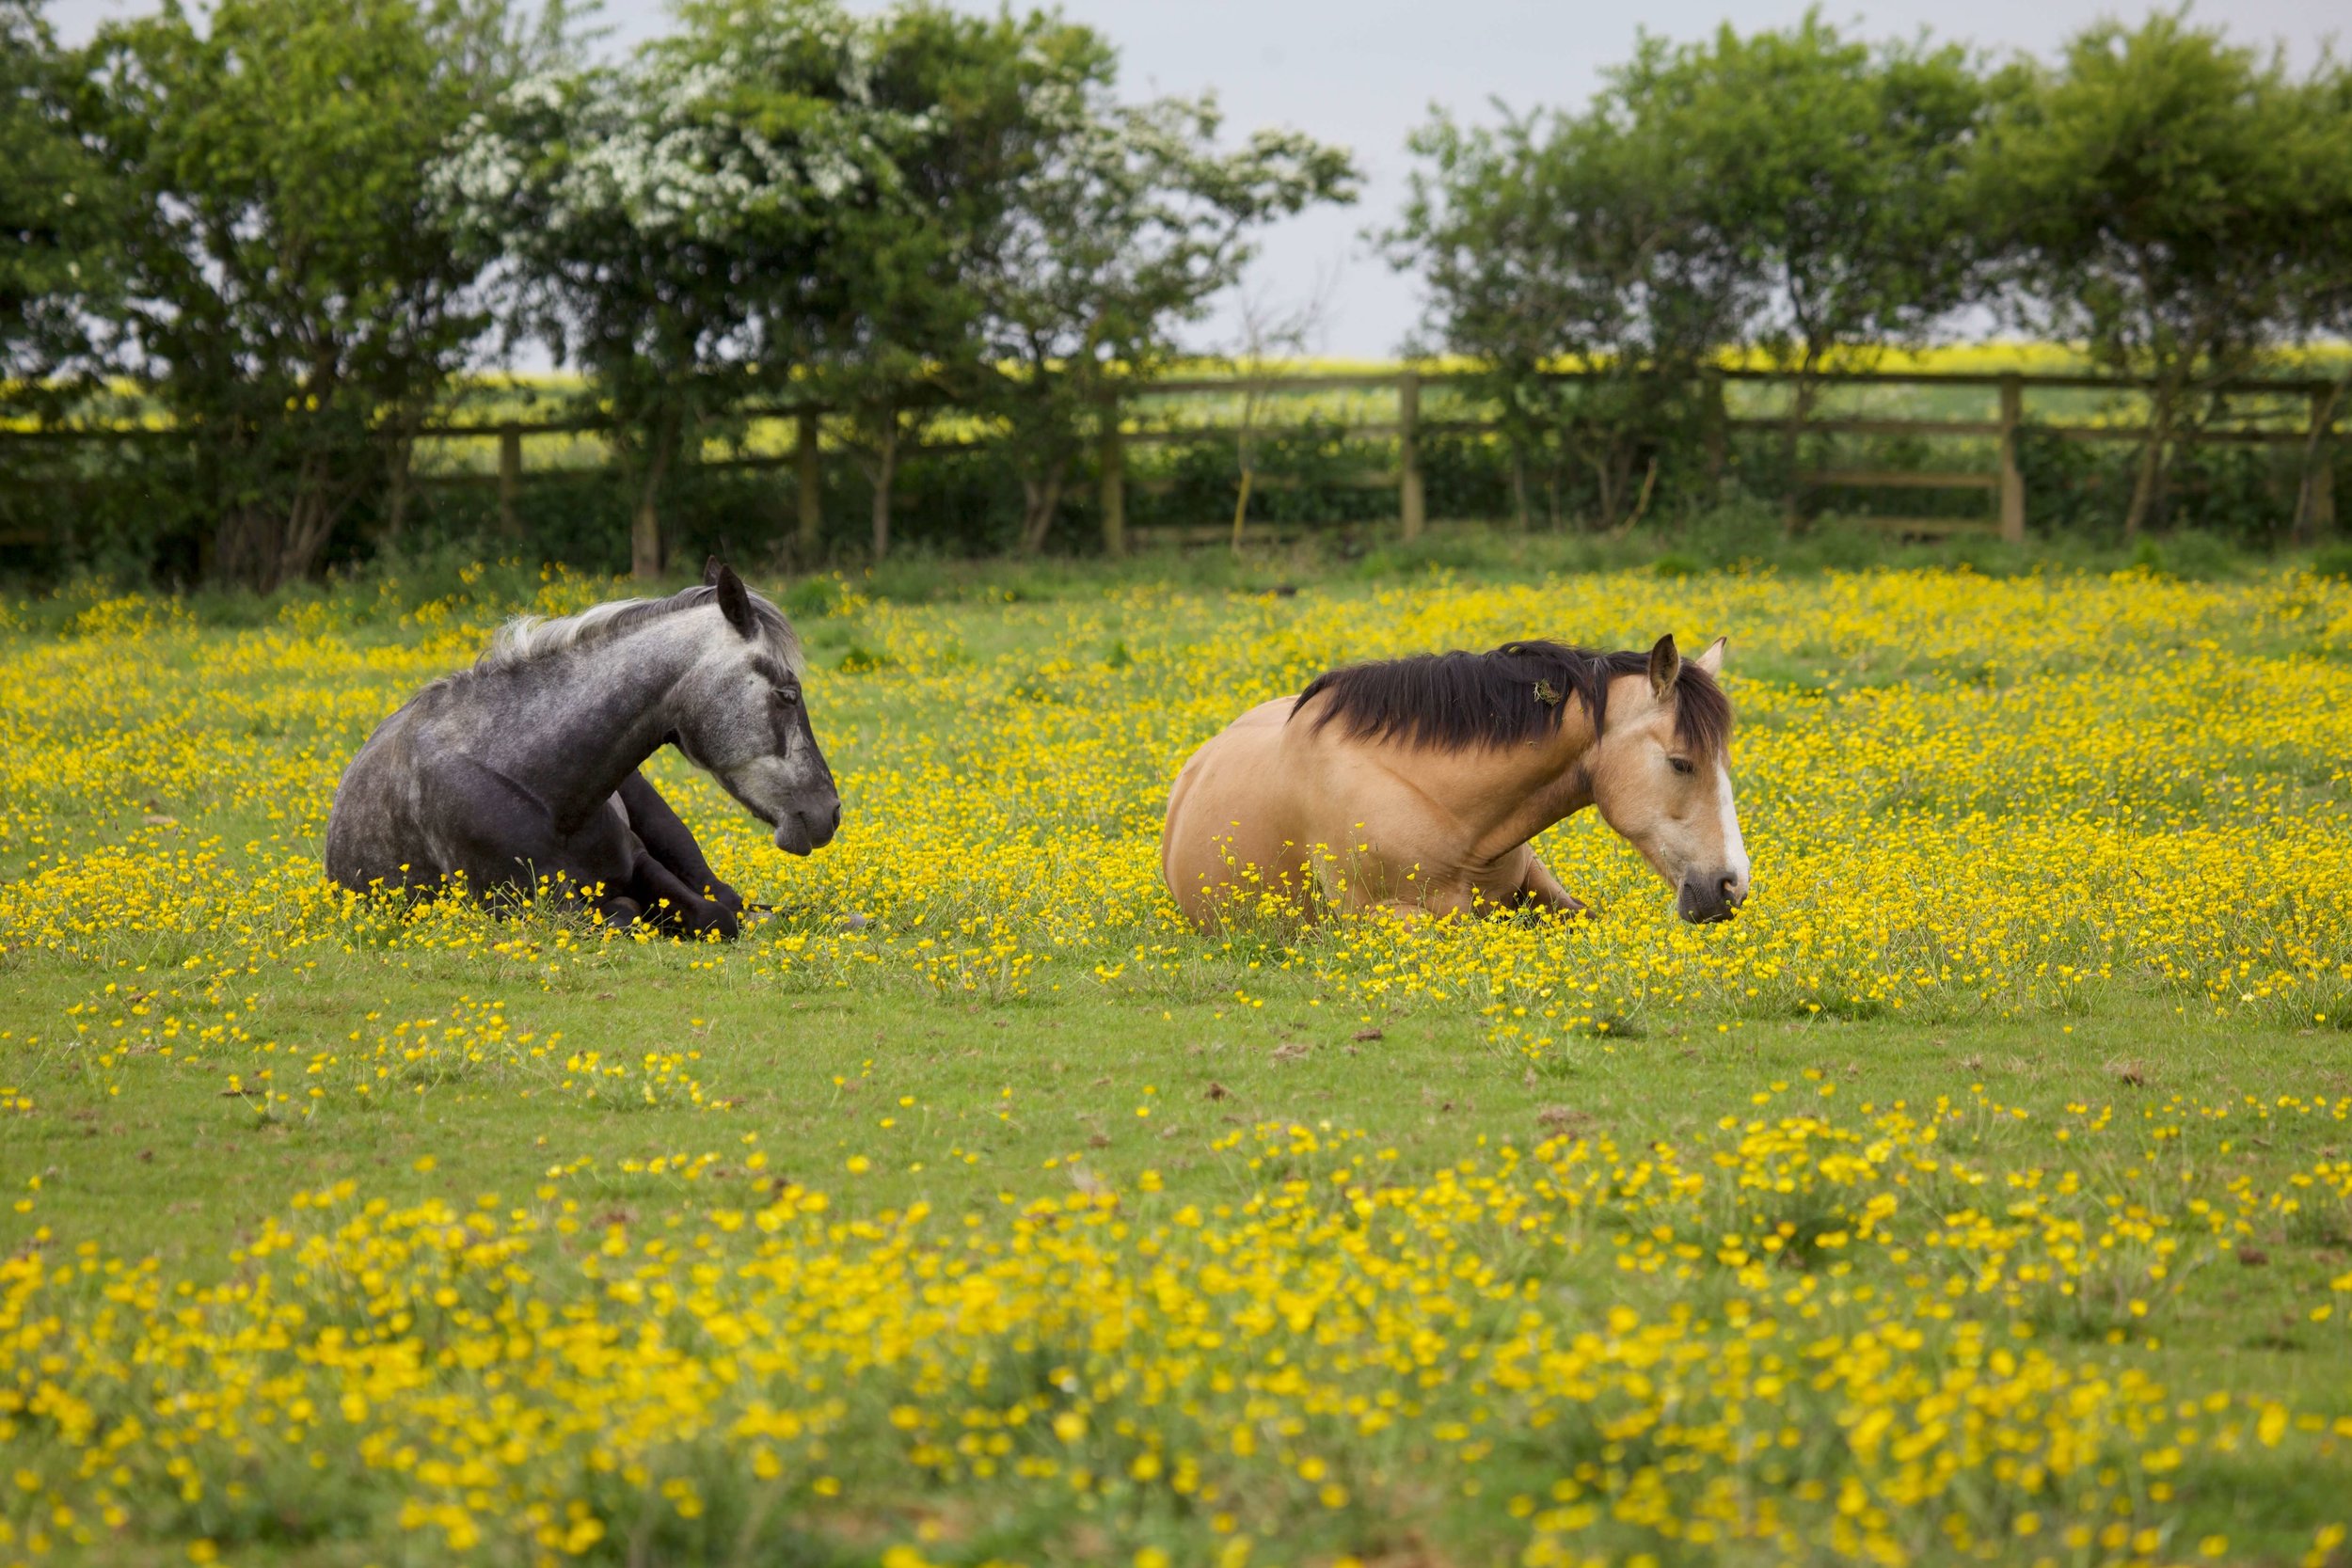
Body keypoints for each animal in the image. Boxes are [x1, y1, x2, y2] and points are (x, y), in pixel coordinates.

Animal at [322, 562, 837, 940]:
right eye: (787, 693)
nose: (830, 812)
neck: (537, 786)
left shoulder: (641, 863)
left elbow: (715, 915)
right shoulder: (537, 908)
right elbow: (632, 914)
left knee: (733, 899)